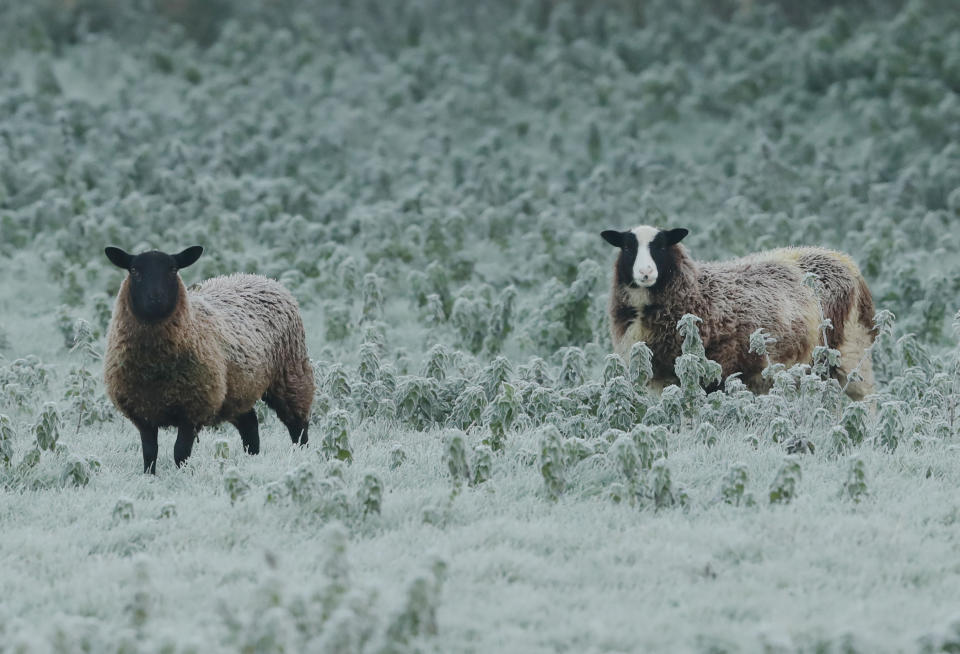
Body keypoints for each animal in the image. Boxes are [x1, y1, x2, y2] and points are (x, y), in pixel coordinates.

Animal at [105, 245, 316, 472]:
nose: (156, 300)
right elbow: (149, 453)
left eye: (173, 269)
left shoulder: (194, 409)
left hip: (291, 374)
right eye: (134, 270)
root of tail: (261, 278)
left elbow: (180, 452)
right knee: (250, 422)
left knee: (298, 426)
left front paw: (181, 475)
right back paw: (252, 458)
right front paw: (149, 476)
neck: (155, 368)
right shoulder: (143, 413)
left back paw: (301, 457)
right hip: (237, 389)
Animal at [600, 226, 876, 400]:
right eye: (627, 247)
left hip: (850, 351)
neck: (697, 291)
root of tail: (844, 260)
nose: (645, 273)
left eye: (661, 246)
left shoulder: (718, 371)